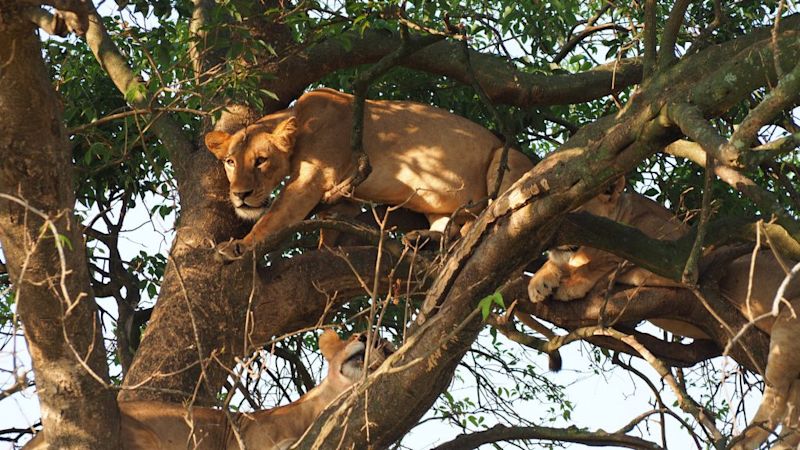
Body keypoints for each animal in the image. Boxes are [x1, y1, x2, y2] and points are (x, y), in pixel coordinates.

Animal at [203, 88, 536, 260]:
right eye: (230, 162)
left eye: (261, 160)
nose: (240, 195)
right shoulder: (346, 196)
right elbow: (329, 226)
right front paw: (326, 248)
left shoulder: (311, 180)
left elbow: (273, 218)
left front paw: (239, 245)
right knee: (445, 226)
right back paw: (421, 238)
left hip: (502, 159)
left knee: (490, 210)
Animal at [524, 178, 800, 448]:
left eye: (577, 211)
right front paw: (541, 280)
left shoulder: (680, 262)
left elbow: (608, 263)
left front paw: (573, 282)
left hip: (786, 325)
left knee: (775, 400)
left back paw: (742, 441)